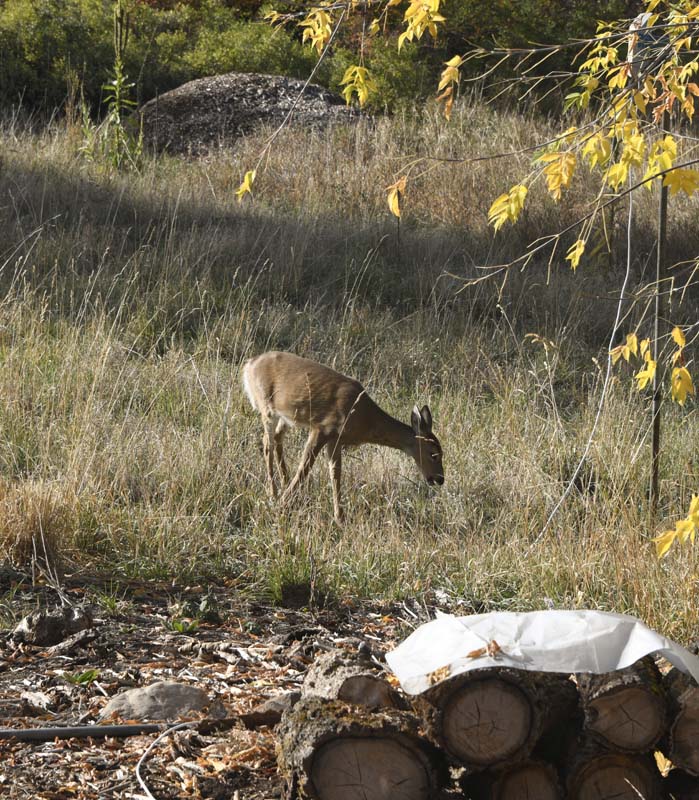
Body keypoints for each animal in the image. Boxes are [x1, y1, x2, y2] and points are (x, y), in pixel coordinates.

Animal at [242, 351, 444, 523]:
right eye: (434, 454)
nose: (440, 479)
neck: (365, 419)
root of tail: (249, 365)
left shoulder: (336, 439)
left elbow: (336, 473)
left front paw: (339, 517)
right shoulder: (322, 428)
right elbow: (305, 466)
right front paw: (283, 504)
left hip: (287, 417)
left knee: (277, 438)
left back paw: (284, 481)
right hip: (266, 407)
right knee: (266, 443)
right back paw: (274, 492)